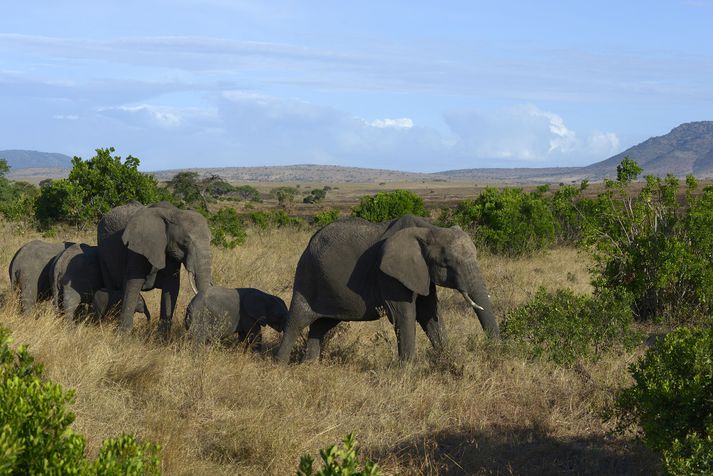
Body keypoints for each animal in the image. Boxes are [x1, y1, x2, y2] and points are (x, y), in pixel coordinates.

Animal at [98, 201, 213, 338]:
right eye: (186, 241)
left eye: (211, 240)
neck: (174, 213)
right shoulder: (137, 248)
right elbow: (133, 284)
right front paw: (123, 337)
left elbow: (172, 288)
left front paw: (162, 339)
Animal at [276, 214, 498, 362]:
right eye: (446, 263)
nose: (494, 351)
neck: (429, 229)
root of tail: (311, 240)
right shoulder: (388, 274)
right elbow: (404, 315)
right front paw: (407, 373)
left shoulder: (421, 272)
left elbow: (428, 313)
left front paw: (449, 360)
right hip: (307, 274)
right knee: (297, 321)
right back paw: (281, 365)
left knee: (322, 325)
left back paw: (310, 365)